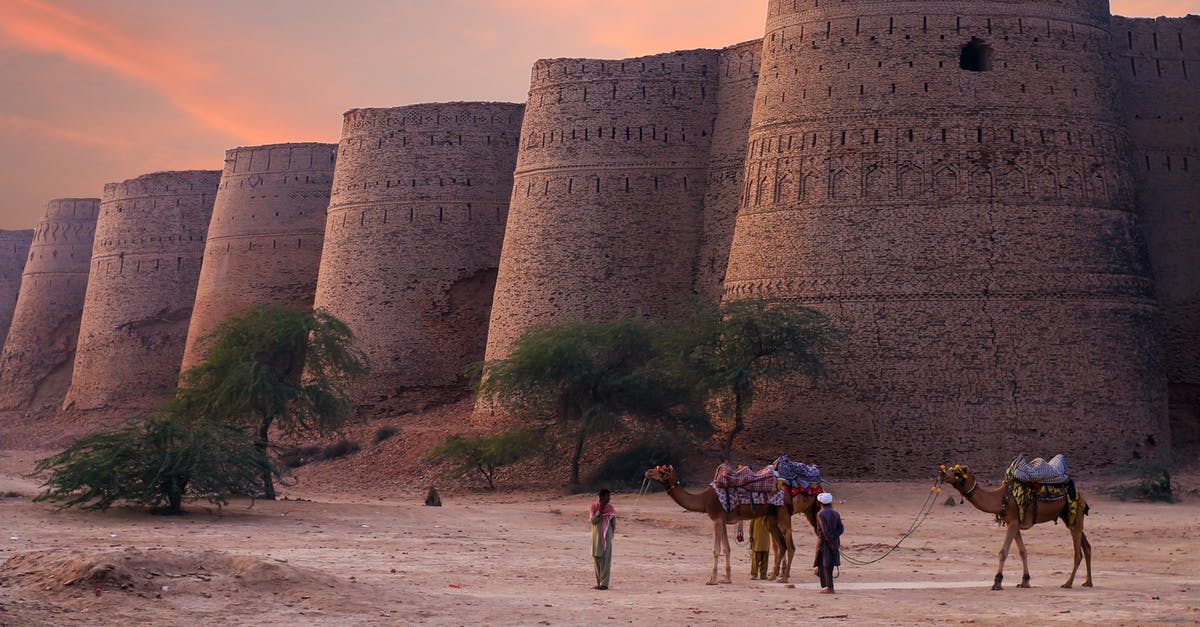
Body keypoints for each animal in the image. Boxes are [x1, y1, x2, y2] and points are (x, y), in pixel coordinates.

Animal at [648, 461, 796, 583]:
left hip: (782, 511)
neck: (704, 500)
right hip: (771, 516)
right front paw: (727, 579)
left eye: (663, 471)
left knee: (790, 544)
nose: (648, 472)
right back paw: (773, 576)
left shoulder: (717, 519)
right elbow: (727, 549)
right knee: (782, 544)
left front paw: (712, 579)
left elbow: (716, 550)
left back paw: (784, 578)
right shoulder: (723, 520)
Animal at [936, 461, 1099, 588]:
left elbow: (1003, 552)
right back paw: (1088, 582)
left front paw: (997, 582)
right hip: (1068, 517)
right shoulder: (1013, 523)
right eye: (950, 469)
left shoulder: (1014, 522)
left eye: (956, 472)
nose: (942, 474)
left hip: (1075, 513)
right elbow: (1022, 551)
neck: (1001, 498)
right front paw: (1025, 581)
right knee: (1087, 547)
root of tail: (1081, 496)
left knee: (1078, 553)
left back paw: (1068, 583)